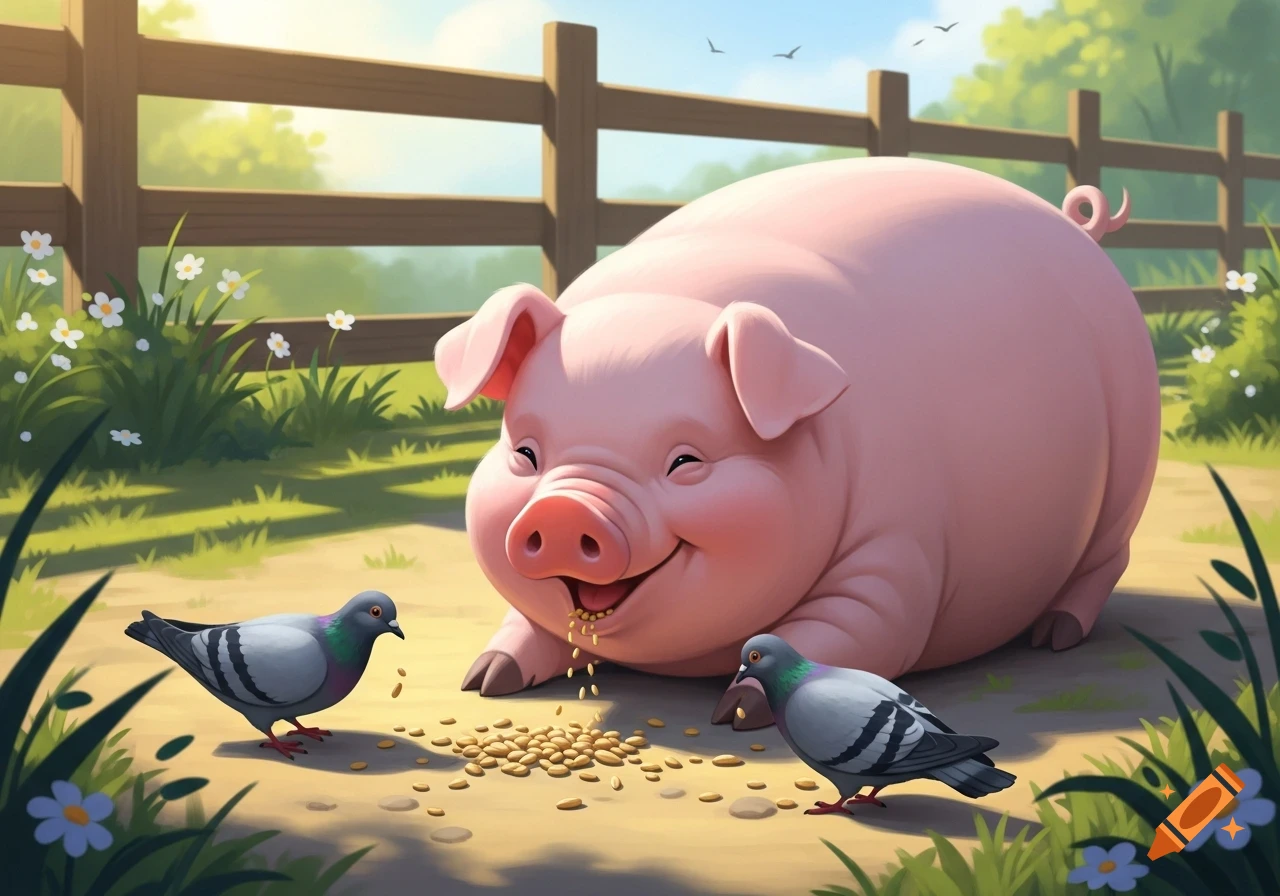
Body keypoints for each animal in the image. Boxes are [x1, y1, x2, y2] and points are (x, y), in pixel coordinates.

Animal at [434, 156, 1160, 730]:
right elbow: (532, 622)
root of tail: (1076, 226)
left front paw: (733, 714)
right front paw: (483, 679)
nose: (563, 510)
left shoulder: (895, 557)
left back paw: (1054, 638)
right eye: (526, 453)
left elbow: (851, 634)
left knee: (1106, 562)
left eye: (686, 462)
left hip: (1128, 474)